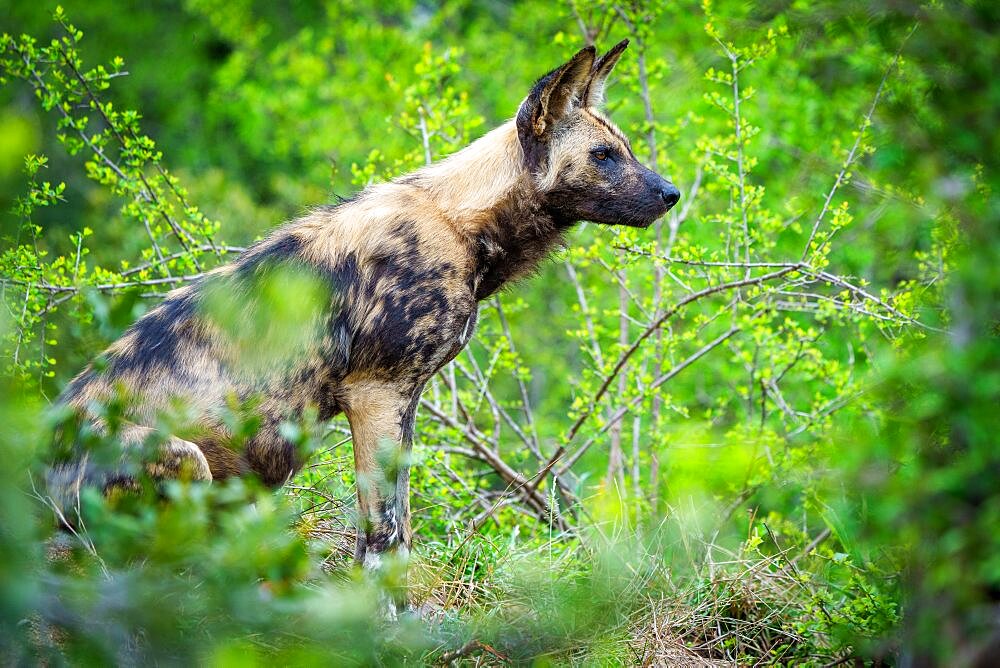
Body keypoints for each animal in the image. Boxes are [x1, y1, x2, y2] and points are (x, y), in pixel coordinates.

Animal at [52, 41, 680, 592]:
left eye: (627, 147)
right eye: (603, 156)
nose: (671, 194)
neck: (461, 222)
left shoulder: (402, 400)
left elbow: (398, 527)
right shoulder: (378, 393)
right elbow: (383, 538)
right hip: (187, 464)